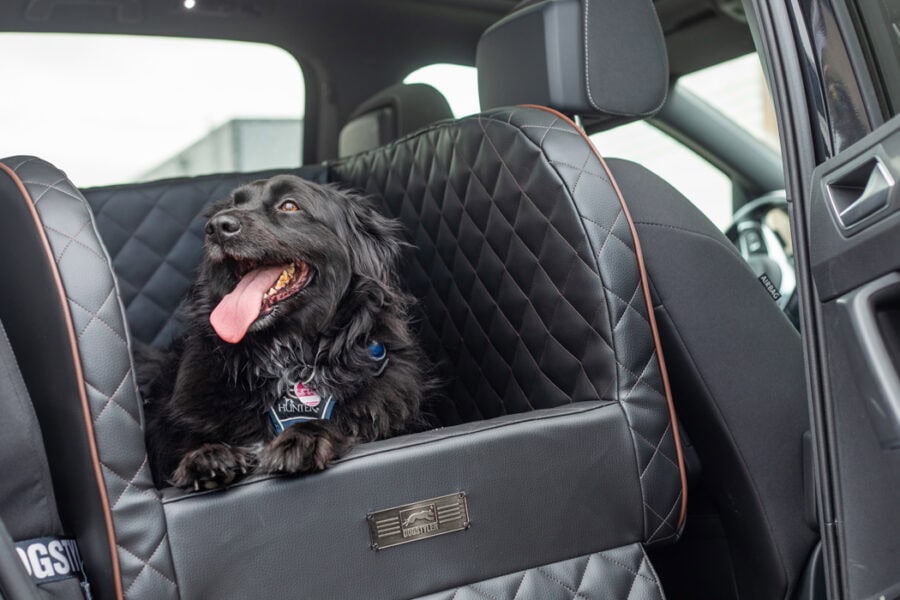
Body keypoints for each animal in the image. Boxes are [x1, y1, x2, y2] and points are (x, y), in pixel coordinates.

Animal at [138, 175, 426, 492]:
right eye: (232, 204)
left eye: (289, 206)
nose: (217, 226)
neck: (285, 355)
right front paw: (206, 454)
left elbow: (340, 420)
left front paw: (303, 436)